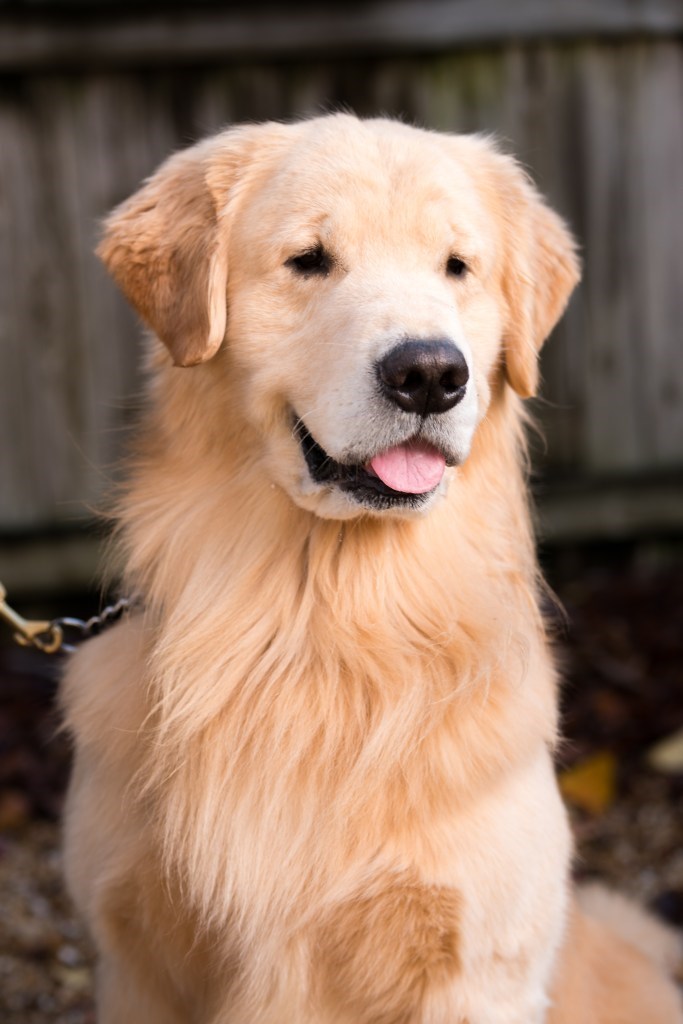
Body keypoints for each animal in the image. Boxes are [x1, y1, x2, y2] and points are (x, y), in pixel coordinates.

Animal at [61, 114, 679, 1024]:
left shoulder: (477, 969)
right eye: (309, 259)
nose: (430, 374)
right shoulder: (138, 961)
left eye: (456, 265)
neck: (323, 620)